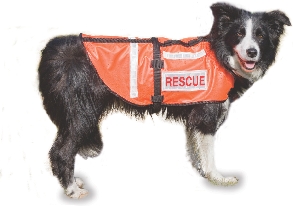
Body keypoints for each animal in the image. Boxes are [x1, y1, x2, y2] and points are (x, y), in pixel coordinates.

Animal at [37, 2, 288, 199]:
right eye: (239, 34)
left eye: (260, 35)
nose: (252, 52)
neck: (220, 55)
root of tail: (51, 48)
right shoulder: (206, 116)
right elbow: (208, 154)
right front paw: (217, 177)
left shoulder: (194, 117)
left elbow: (195, 150)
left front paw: (201, 172)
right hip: (81, 112)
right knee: (62, 151)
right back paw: (72, 189)